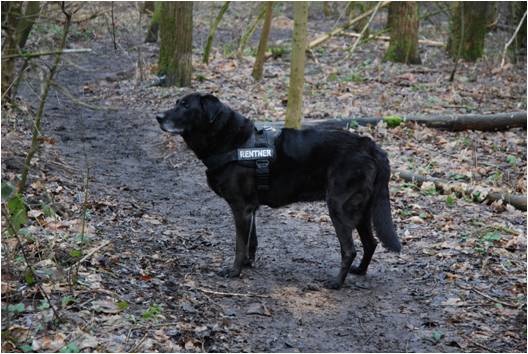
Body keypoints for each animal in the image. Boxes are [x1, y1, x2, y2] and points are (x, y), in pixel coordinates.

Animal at [157, 92, 400, 290]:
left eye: (186, 106)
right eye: (177, 102)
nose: (158, 116)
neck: (231, 141)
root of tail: (370, 145)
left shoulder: (240, 207)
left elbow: (239, 244)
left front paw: (235, 271)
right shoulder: (250, 209)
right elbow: (251, 241)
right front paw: (248, 263)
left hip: (339, 207)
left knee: (350, 249)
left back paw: (336, 283)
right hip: (362, 210)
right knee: (371, 243)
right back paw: (359, 271)